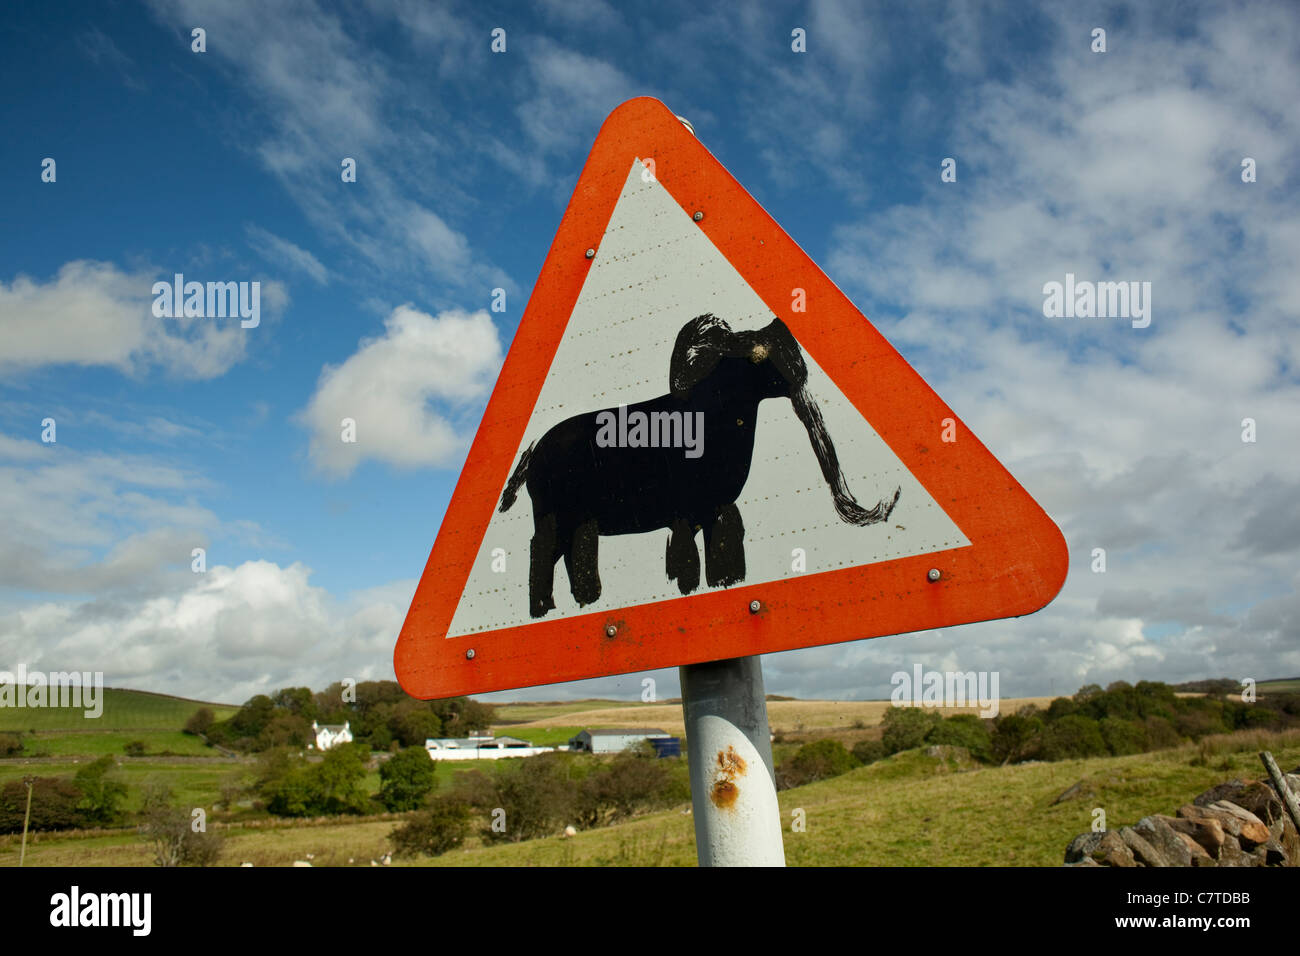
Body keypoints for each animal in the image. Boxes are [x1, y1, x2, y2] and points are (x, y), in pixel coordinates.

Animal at [499, 314, 904, 621]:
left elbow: (721, 563)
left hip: (579, 522)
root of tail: (534, 453)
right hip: (553, 516)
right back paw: (544, 608)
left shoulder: (716, 512)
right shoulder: (686, 514)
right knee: (541, 555)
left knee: (573, 558)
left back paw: (582, 601)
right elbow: (688, 566)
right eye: (756, 354)